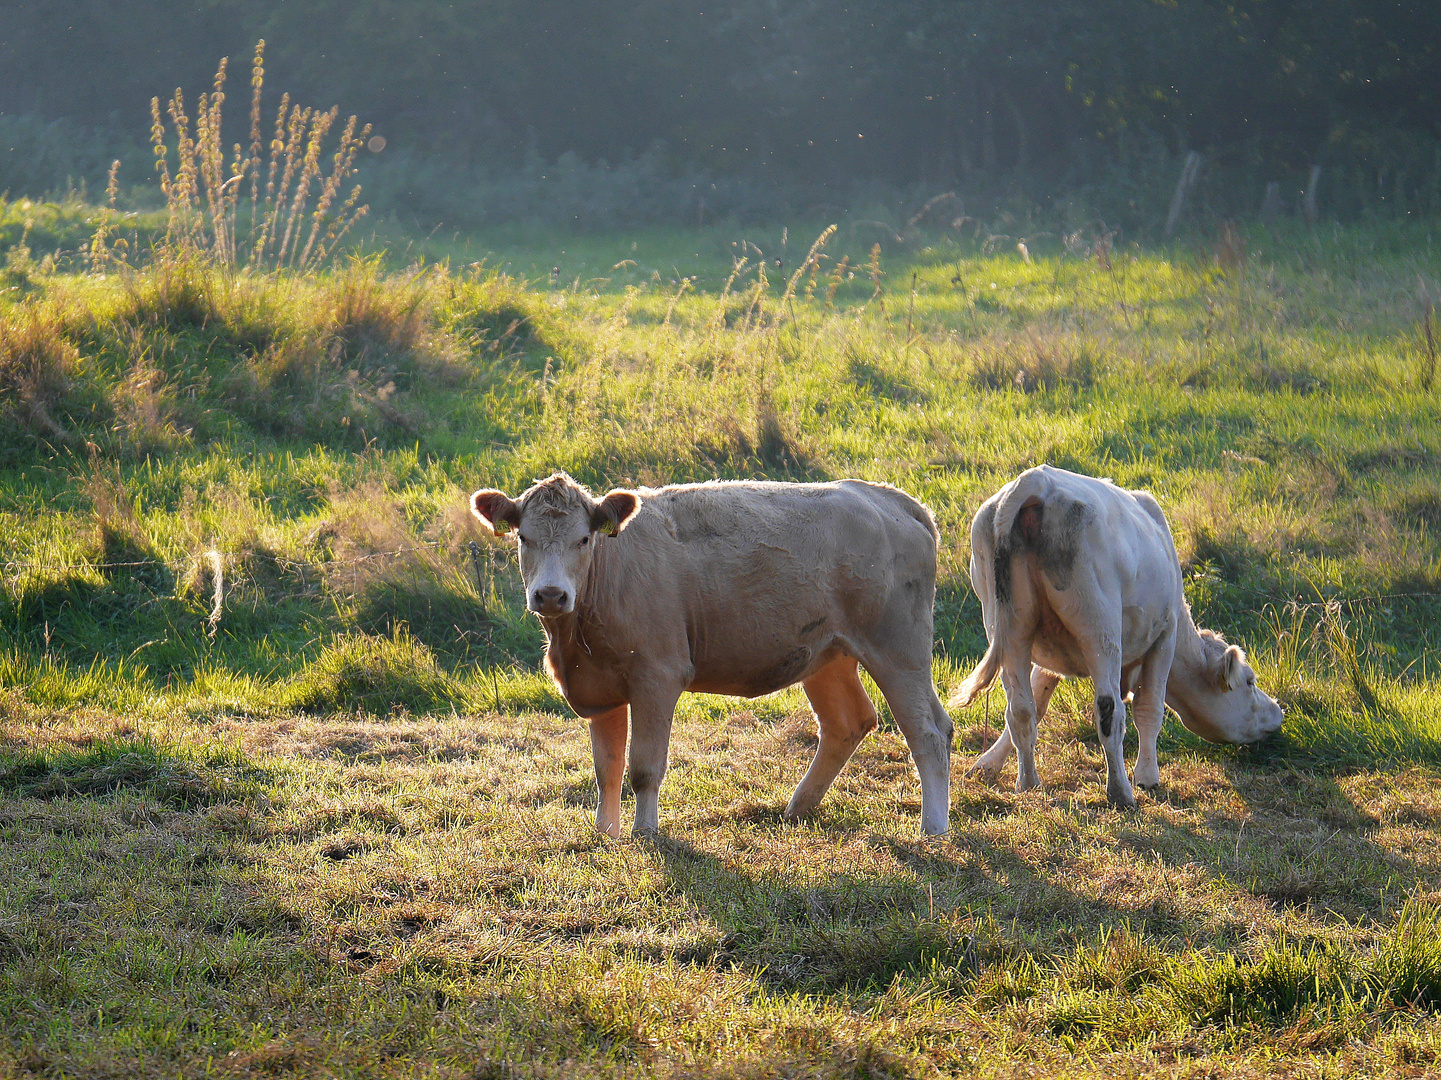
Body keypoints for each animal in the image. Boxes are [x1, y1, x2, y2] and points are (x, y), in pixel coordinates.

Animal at [466, 470, 951, 836]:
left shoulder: (657, 677)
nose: (550, 594)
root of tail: (884, 496)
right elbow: (607, 768)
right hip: (828, 655)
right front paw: (605, 833)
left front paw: (645, 832)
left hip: (898, 648)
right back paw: (798, 808)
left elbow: (644, 767)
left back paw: (933, 827)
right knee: (848, 724)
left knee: (928, 731)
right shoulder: (599, 688)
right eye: (524, 538)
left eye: (584, 539)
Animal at [951, 464, 1279, 807]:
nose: (1277, 712)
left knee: (1020, 708)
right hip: (1100, 629)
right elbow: (1149, 709)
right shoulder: (1165, 636)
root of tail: (1037, 482)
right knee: (1109, 712)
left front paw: (988, 763)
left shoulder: (1049, 657)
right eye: (1249, 681)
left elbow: (1037, 702)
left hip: (1011, 629)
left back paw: (1028, 784)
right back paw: (1120, 792)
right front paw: (1147, 777)